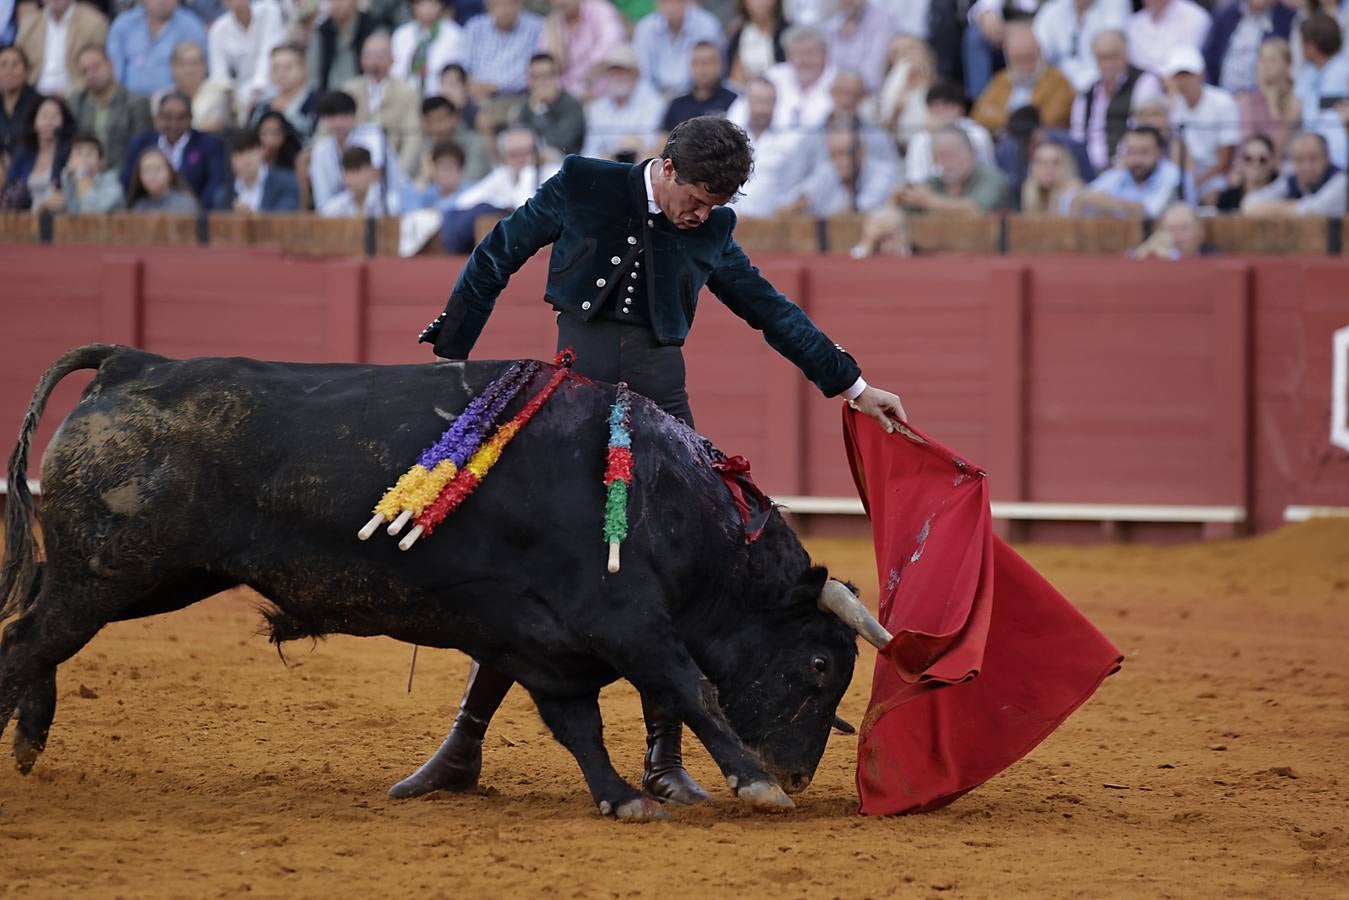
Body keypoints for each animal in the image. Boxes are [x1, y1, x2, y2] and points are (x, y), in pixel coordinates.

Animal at [0, 345, 884, 825]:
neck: (669, 505)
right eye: (818, 666)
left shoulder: (543, 644)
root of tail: (131, 364)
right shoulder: (627, 623)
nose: (798, 774)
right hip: (111, 574)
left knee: (28, 634)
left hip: (155, 579)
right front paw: (756, 785)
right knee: (31, 638)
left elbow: (578, 726)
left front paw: (623, 797)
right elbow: (689, 688)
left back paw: (27, 740)